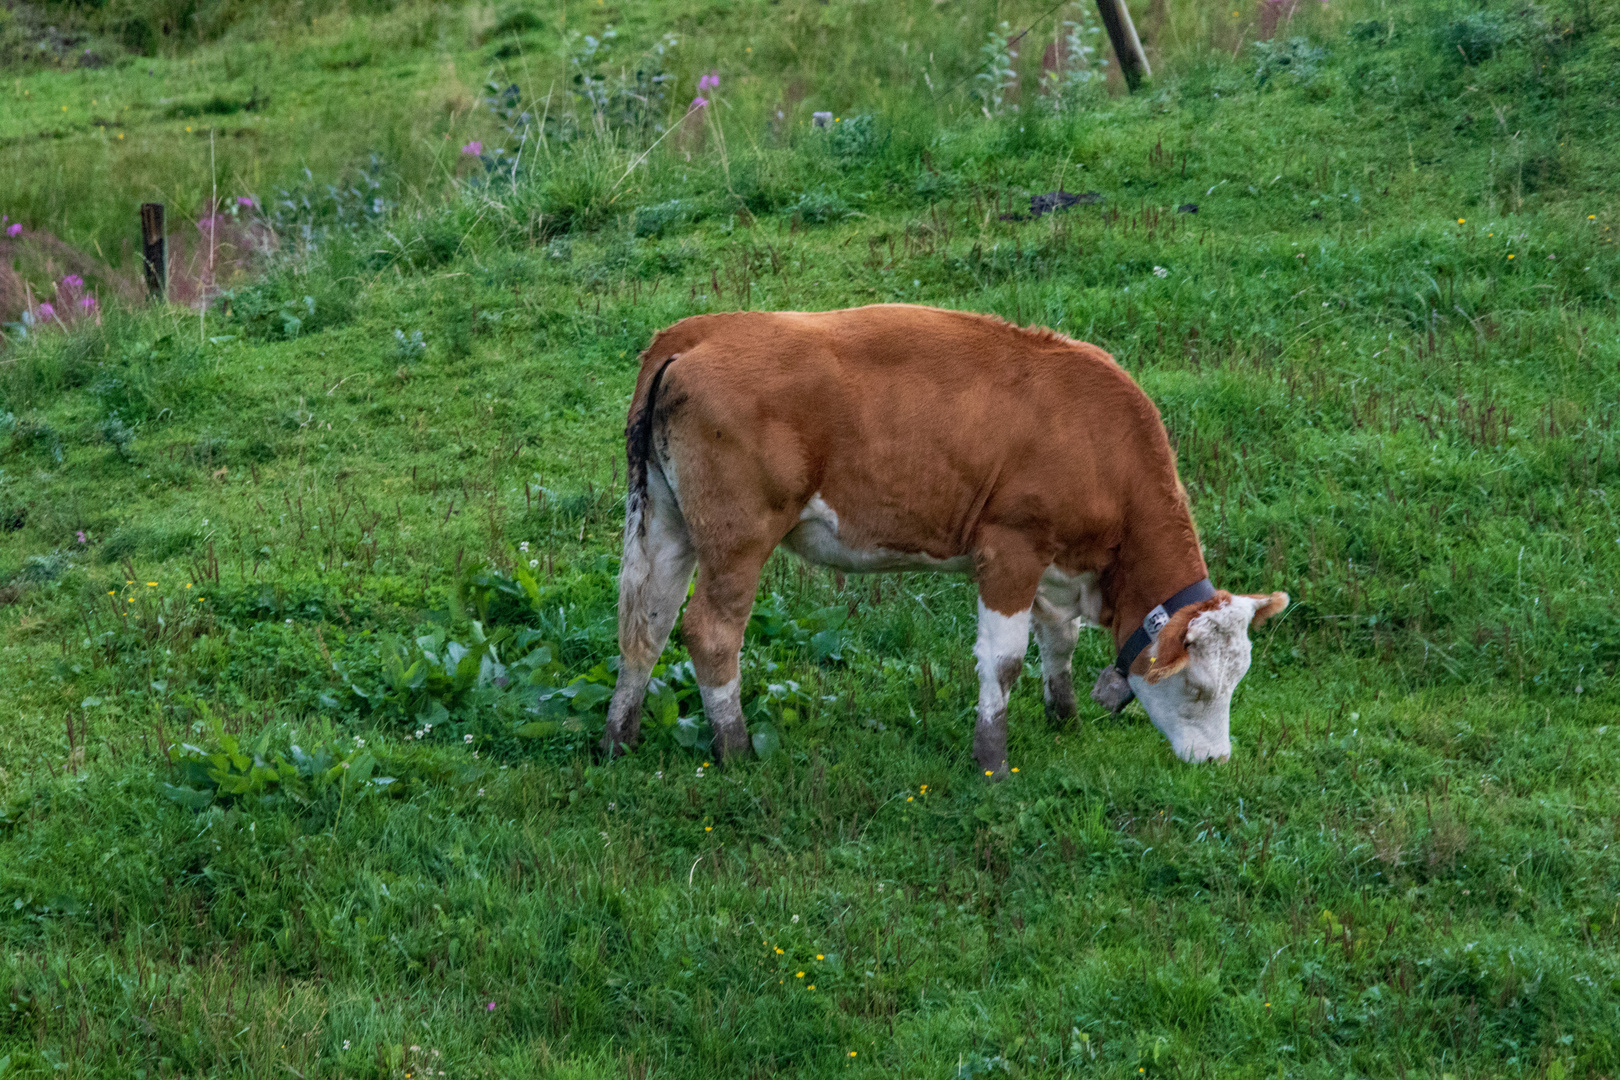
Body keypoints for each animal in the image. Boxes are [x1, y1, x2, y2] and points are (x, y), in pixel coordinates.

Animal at [599, 304, 1289, 777]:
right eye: (1197, 687)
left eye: (1239, 681)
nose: (1217, 761)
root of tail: (702, 329)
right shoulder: (1009, 549)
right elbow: (1004, 659)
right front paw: (992, 762)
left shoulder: (1053, 563)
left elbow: (1058, 642)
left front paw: (1063, 720)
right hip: (738, 537)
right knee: (711, 632)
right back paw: (737, 751)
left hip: (664, 520)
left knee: (646, 621)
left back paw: (617, 739)